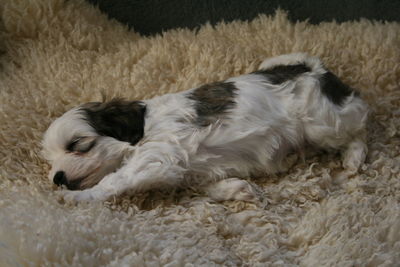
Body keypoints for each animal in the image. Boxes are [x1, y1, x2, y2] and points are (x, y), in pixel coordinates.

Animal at [42, 52, 368, 203]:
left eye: (78, 145)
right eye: (51, 160)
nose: (57, 178)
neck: (143, 128)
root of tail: (313, 67)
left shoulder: (155, 156)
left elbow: (114, 180)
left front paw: (77, 198)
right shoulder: (191, 171)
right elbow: (209, 186)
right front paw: (240, 190)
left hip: (323, 121)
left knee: (360, 127)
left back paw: (353, 159)